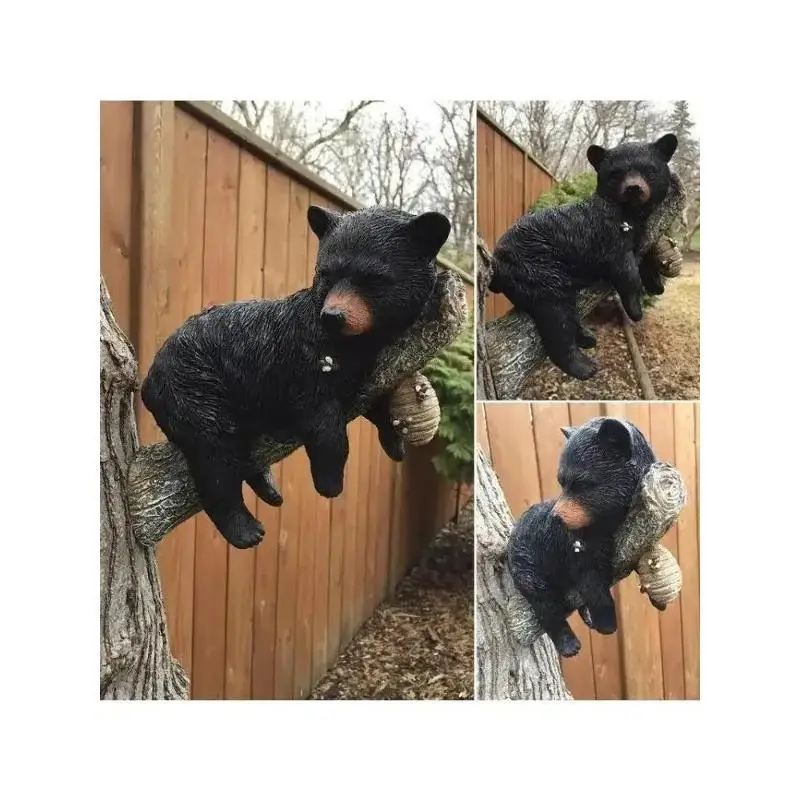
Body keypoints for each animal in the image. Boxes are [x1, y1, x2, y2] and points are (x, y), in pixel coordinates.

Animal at [140, 205, 451, 550]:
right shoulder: (303, 361)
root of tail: (149, 380)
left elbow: (374, 400)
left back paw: (269, 490)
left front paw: (394, 439)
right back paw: (245, 529)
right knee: (214, 453)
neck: (357, 343)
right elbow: (323, 422)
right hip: (194, 388)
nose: (333, 316)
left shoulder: (367, 366)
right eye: (326, 273)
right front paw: (330, 482)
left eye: (374, 278)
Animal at [489, 133, 679, 380]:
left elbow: (645, 250)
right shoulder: (606, 235)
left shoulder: (641, 231)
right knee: (555, 312)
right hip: (536, 265)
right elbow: (625, 272)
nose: (634, 188)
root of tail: (496, 266)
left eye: (650, 170)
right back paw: (582, 366)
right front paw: (635, 310)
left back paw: (586, 337)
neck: (629, 215)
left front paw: (656, 283)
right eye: (616, 173)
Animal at [506, 417, 656, 657]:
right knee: (543, 600)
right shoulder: (572, 546)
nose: (555, 516)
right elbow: (590, 580)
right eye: (562, 482)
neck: (605, 524)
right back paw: (569, 644)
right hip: (527, 562)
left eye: (582, 483)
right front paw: (607, 624)